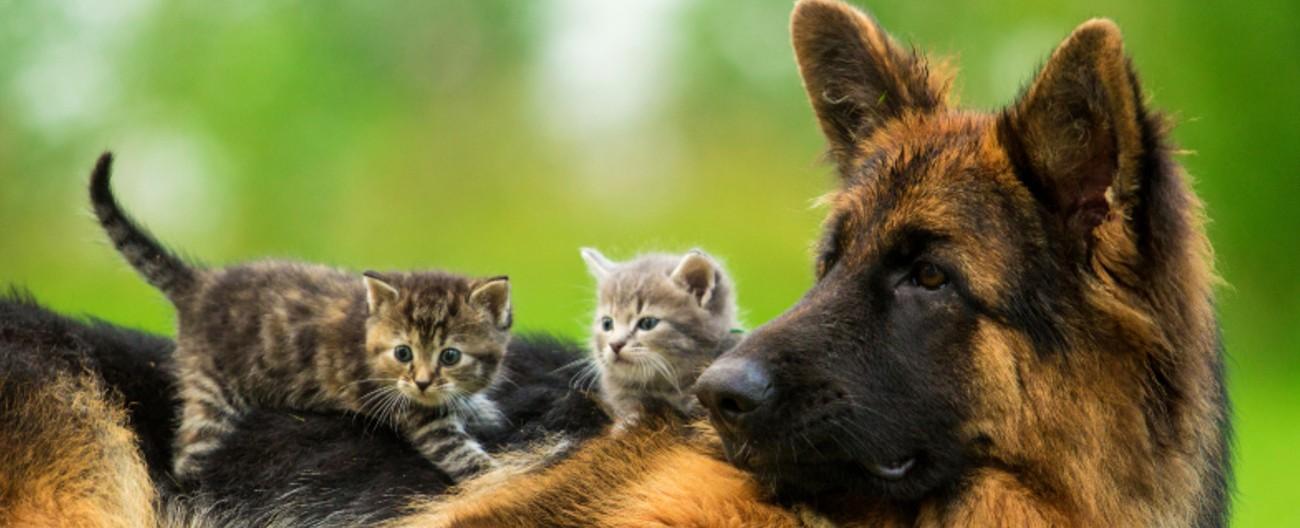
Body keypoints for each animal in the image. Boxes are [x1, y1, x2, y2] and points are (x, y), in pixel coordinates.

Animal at [87, 153, 506, 483]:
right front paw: (501, 475)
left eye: (450, 356)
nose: (421, 382)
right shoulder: (417, 416)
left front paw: (478, 408)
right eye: (403, 353)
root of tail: (202, 284)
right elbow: (466, 458)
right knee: (191, 450)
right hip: (212, 389)